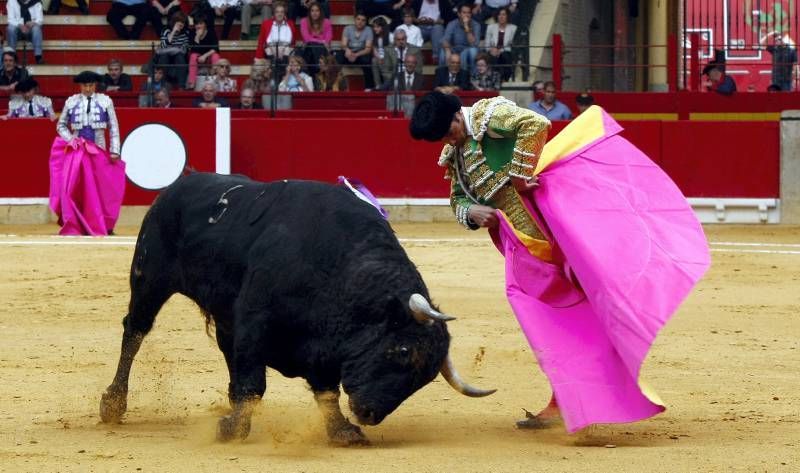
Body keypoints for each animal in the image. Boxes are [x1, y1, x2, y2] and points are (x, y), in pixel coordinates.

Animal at [100, 172, 494, 442]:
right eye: (402, 351)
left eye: (424, 379)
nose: (369, 414)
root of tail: (177, 187)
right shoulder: (255, 322)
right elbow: (254, 383)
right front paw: (232, 429)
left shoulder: (321, 347)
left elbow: (326, 392)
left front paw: (343, 432)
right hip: (149, 279)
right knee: (134, 331)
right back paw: (113, 404)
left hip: (222, 312)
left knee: (224, 349)